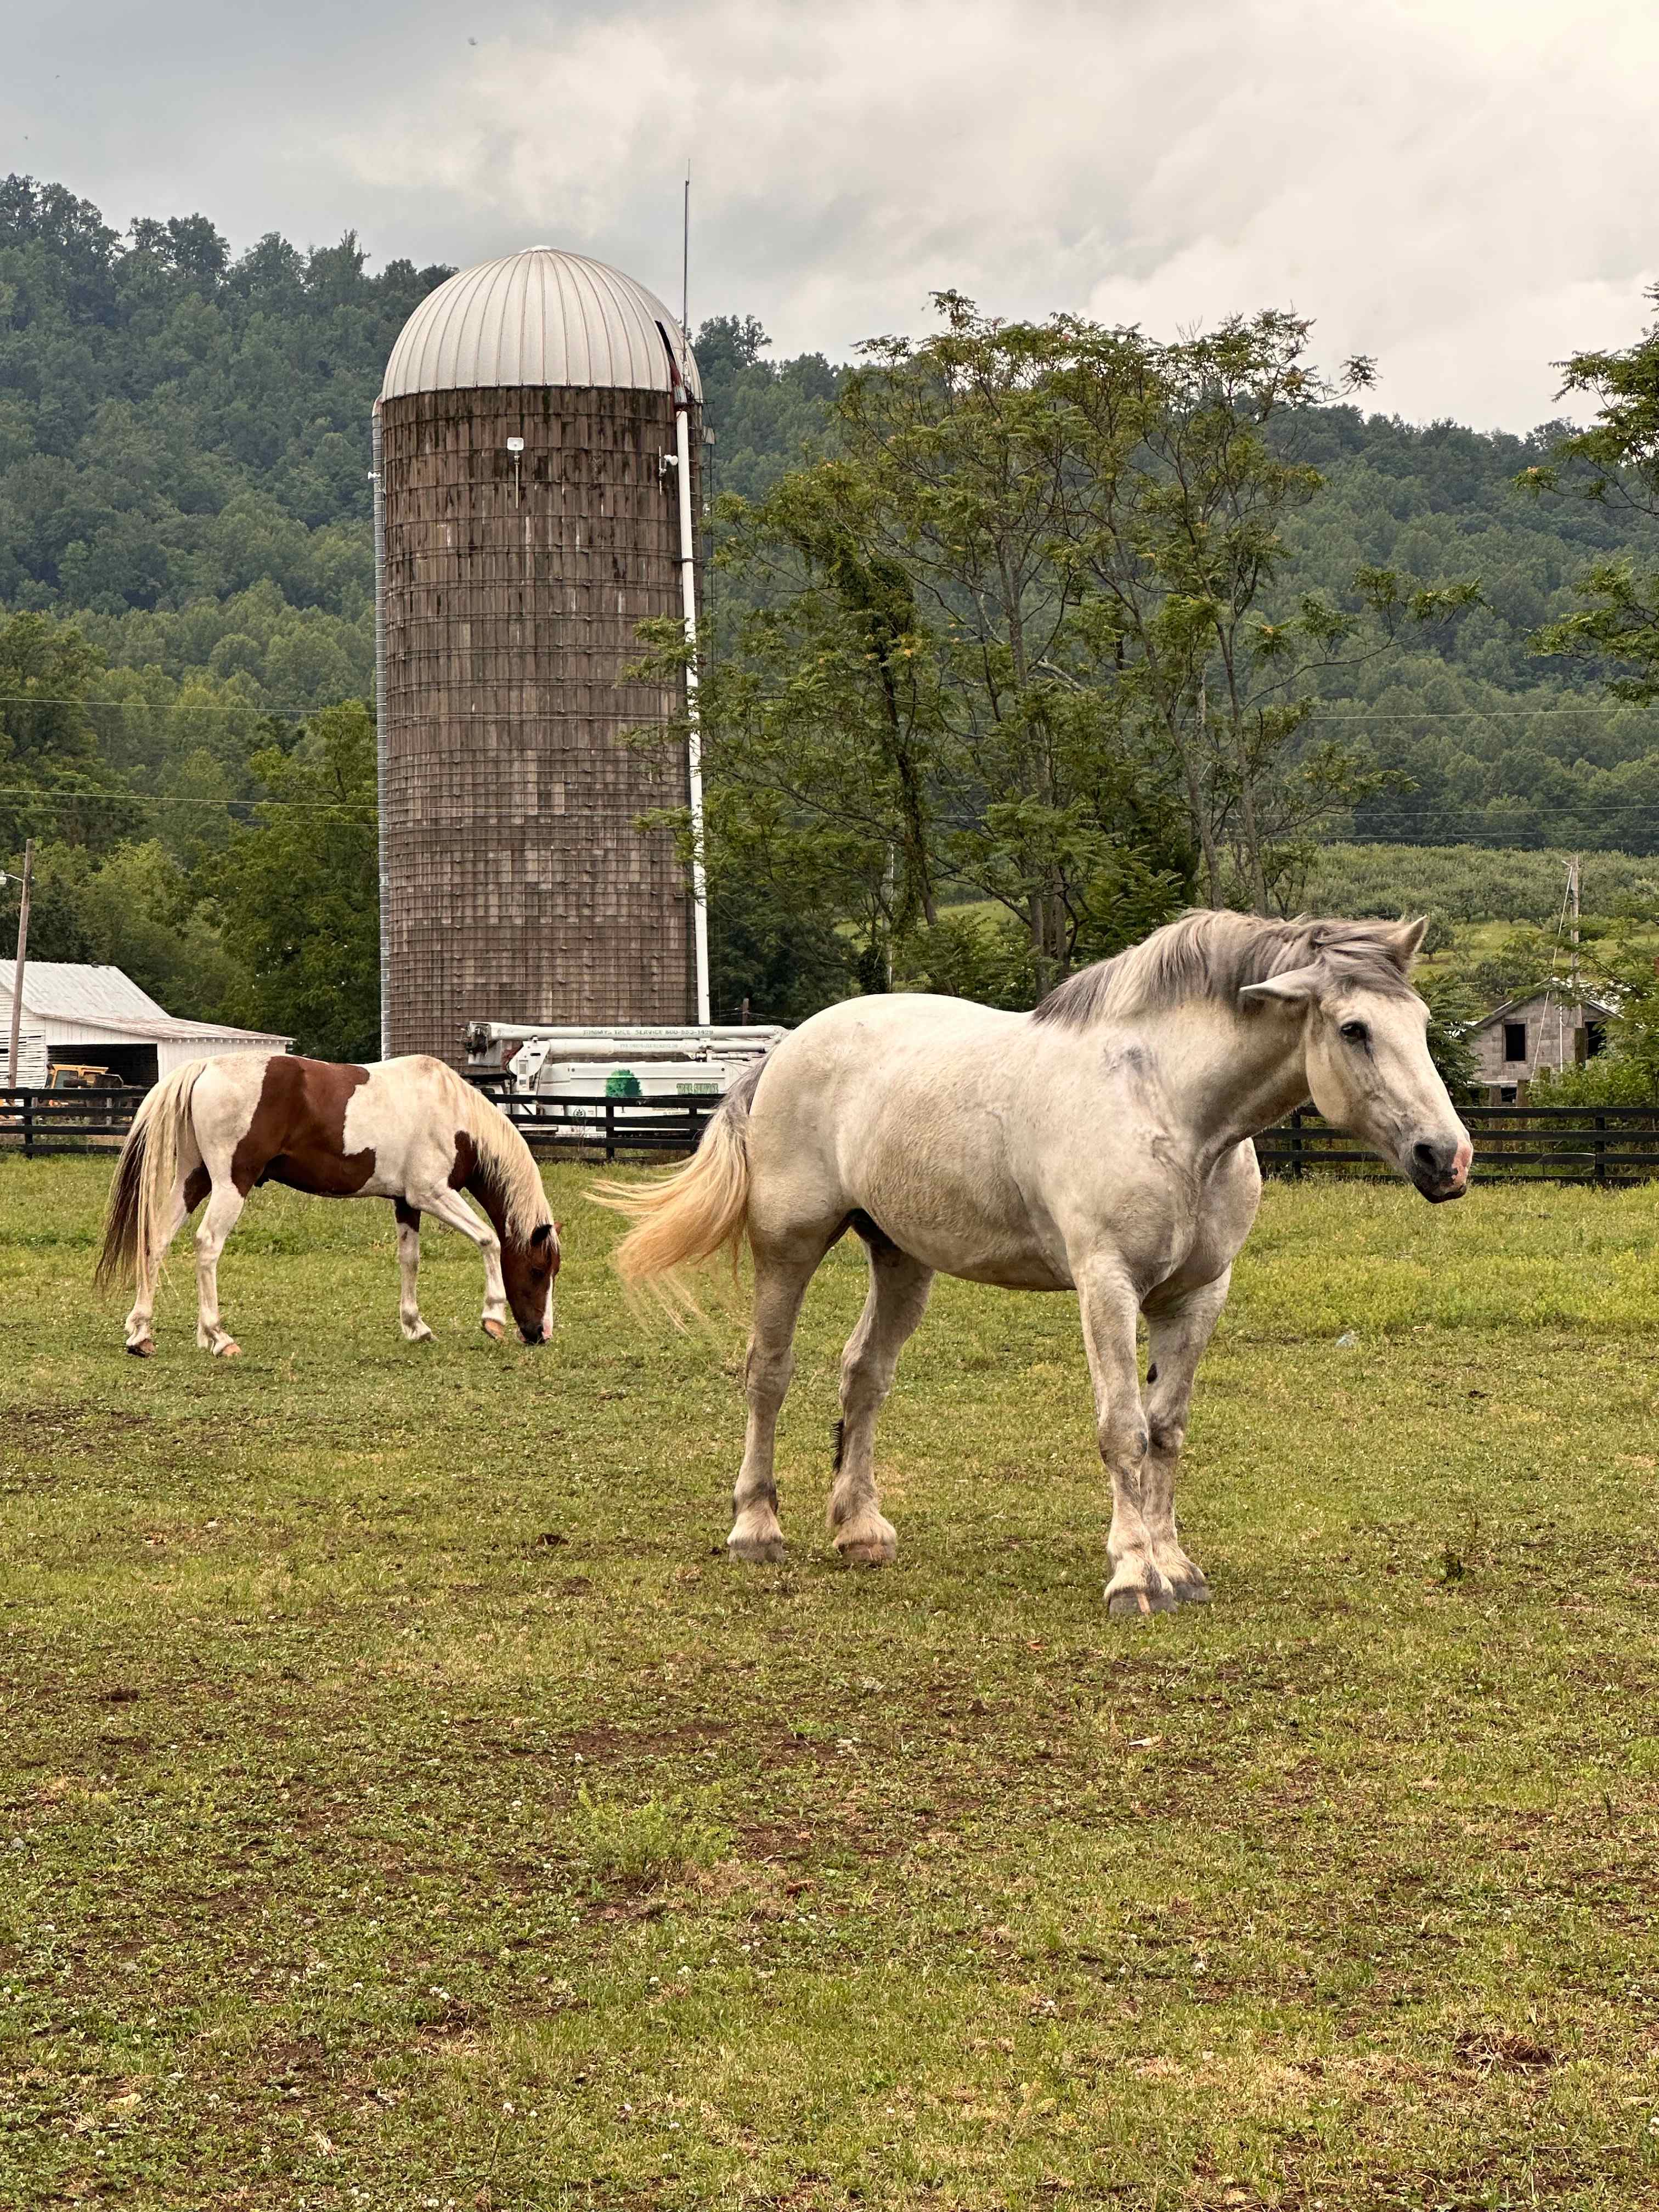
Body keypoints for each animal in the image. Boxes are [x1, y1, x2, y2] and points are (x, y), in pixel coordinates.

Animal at [96, 1053, 559, 1356]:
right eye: (538, 1271)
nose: (541, 1334)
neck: (452, 1114)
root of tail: (205, 1067)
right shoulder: (433, 1194)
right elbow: (489, 1241)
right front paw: (493, 1317)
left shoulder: (406, 1202)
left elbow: (410, 1261)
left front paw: (416, 1326)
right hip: (230, 1185)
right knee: (207, 1245)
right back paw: (219, 1337)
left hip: (194, 1181)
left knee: (156, 1242)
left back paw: (142, 1335)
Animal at [598, 910, 1472, 1614]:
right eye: (1354, 1029)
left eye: (1422, 1021)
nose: (1448, 1157)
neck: (1172, 1111)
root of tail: (784, 1052)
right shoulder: (1107, 1285)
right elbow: (1123, 1429)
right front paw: (1134, 1576)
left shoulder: (1198, 1296)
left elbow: (1167, 1430)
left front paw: (1178, 1566)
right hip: (791, 1243)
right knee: (768, 1373)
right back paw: (756, 1528)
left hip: (902, 1258)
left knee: (864, 1376)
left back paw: (861, 1530)